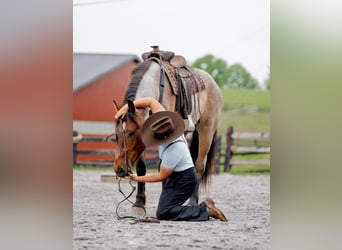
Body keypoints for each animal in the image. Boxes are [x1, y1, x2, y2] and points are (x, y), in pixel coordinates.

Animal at [112, 47, 223, 210]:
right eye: (116, 135)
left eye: (131, 133)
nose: (119, 169)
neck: (155, 86)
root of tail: (214, 84)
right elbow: (142, 166)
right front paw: (139, 204)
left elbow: (162, 167)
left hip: (206, 130)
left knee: (199, 165)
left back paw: (192, 201)